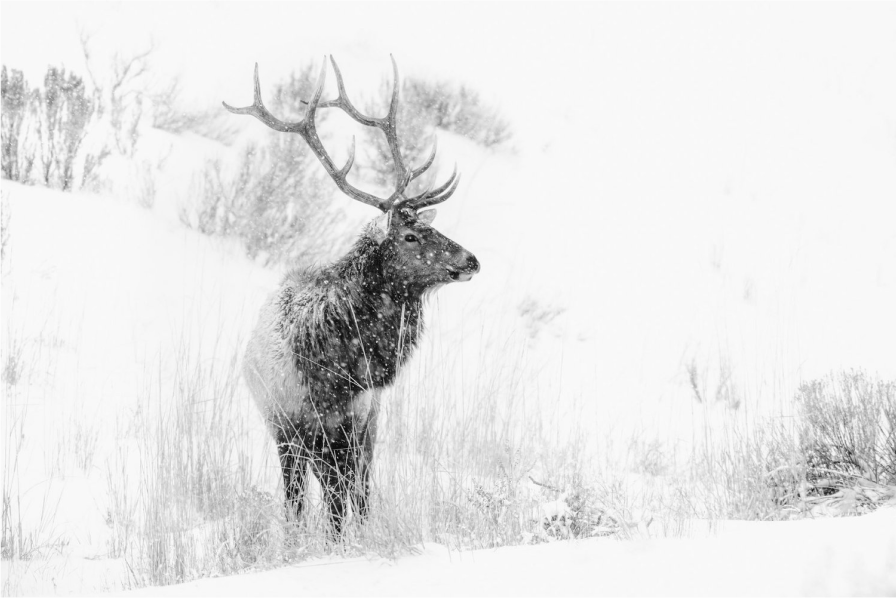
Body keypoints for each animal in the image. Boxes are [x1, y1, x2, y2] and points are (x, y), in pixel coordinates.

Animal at [225, 56, 480, 536]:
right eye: (411, 236)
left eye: (429, 226)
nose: (471, 259)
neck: (341, 367)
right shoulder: (301, 425)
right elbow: (325, 504)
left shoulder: (361, 420)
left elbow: (353, 499)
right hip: (291, 435)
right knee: (304, 497)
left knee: (353, 491)